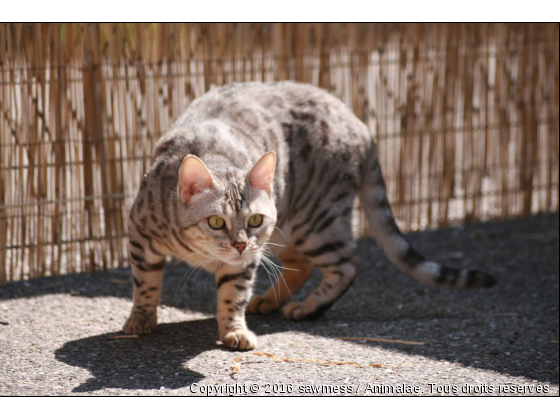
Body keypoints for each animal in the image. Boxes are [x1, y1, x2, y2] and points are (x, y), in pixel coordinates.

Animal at [123, 80, 494, 350]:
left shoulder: (247, 259)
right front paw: (140, 319)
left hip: (315, 220)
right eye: (216, 222)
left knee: (347, 264)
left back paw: (307, 307)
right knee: (304, 263)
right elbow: (145, 283)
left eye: (254, 220)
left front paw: (234, 330)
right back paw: (270, 301)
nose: (240, 244)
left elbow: (233, 295)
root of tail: (360, 123)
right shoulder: (140, 235)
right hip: (291, 227)